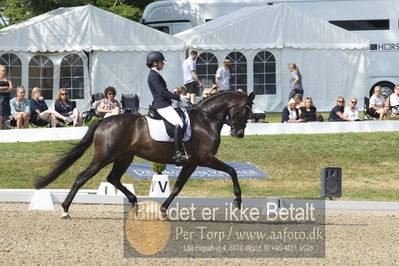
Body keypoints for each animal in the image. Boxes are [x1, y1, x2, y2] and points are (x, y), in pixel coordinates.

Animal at [35, 90, 256, 217]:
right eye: (246, 110)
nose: (239, 133)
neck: (206, 120)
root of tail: (104, 121)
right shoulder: (206, 159)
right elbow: (232, 171)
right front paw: (238, 201)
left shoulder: (191, 163)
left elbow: (177, 188)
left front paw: (163, 210)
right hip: (104, 157)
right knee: (82, 177)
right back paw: (65, 209)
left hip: (124, 157)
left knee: (113, 178)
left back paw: (135, 203)